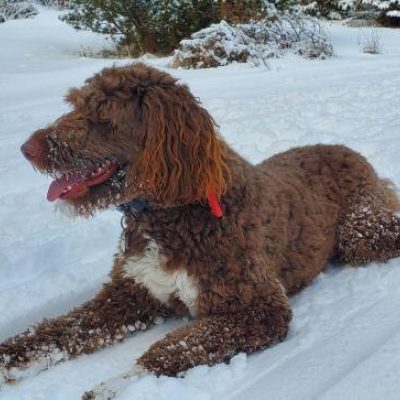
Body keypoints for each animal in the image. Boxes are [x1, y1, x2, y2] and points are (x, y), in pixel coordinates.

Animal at [3, 64, 400, 398]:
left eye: (103, 114)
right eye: (74, 103)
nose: (26, 148)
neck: (169, 211)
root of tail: (348, 151)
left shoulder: (259, 308)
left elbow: (171, 348)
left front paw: (112, 385)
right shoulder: (127, 293)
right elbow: (60, 329)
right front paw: (8, 357)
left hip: (360, 234)